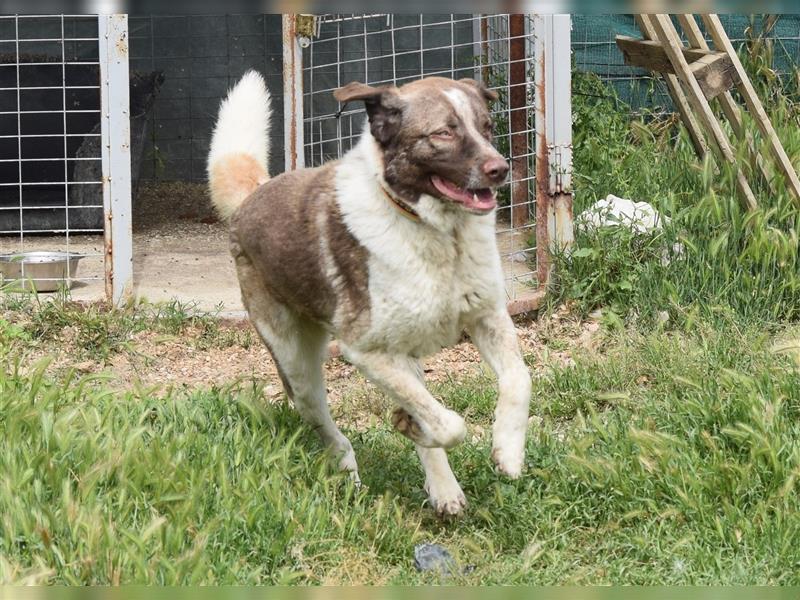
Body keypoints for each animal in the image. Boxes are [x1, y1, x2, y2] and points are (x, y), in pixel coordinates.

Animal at [206, 70, 532, 516]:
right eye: (443, 133)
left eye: (486, 127)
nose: (501, 169)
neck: (440, 234)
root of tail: (253, 196)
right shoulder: (366, 351)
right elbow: (450, 424)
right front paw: (413, 426)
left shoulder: (489, 316)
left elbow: (519, 379)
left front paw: (508, 451)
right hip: (299, 369)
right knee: (329, 429)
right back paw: (350, 473)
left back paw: (443, 490)